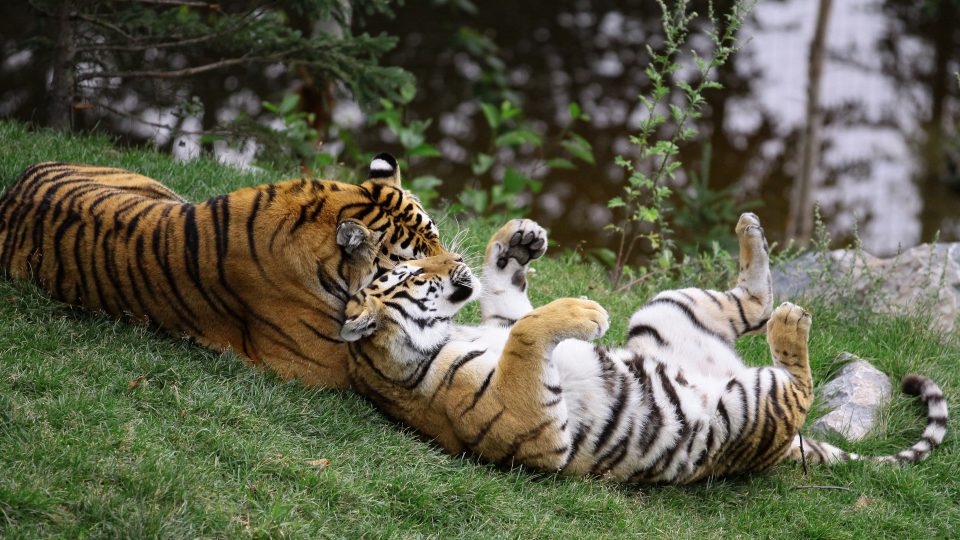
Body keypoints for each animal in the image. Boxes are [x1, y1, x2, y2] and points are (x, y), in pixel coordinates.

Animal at [338, 214, 947, 483]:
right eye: (415, 272)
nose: (452, 260)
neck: (448, 334)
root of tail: (785, 449)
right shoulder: (529, 418)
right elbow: (528, 331)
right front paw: (585, 312)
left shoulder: (498, 320)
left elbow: (512, 306)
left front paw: (517, 239)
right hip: (740, 410)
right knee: (795, 379)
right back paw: (792, 323)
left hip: (668, 308)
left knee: (752, 302)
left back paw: (750, 230)